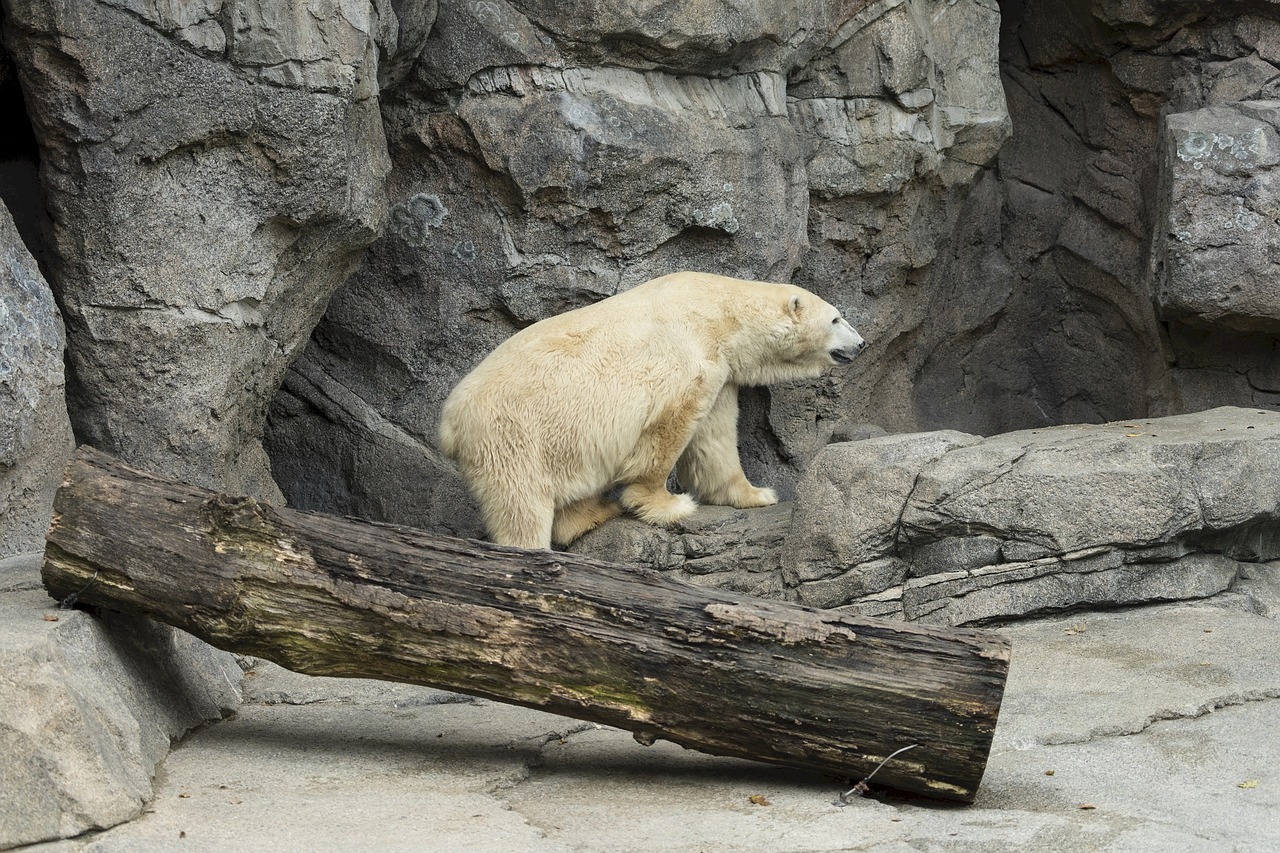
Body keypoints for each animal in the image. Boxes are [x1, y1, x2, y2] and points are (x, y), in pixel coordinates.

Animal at [435, 272, 865, 550]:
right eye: (836, 317)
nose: (861, 343)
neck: (720, 313)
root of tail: (449, 424)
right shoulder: (687, 353)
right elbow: (667, 428)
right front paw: (668, 504)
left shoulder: (720, 370)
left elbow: (715, 439)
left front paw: (758, 494)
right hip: (513, 434)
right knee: (521, 504)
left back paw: (593, 513)